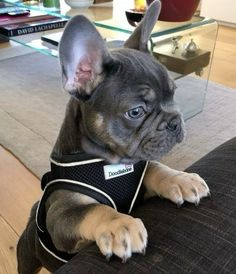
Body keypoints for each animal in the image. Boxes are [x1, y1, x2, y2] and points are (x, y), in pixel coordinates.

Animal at [16, 1, 209, 272]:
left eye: (173, 93)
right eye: (136, 112)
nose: (174, 121)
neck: (111, 162)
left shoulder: (139, 190)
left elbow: (154, 167)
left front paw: (181, 178)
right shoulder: (61, 215)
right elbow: (94, 209)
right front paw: (120, 224)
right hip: (28, 256)